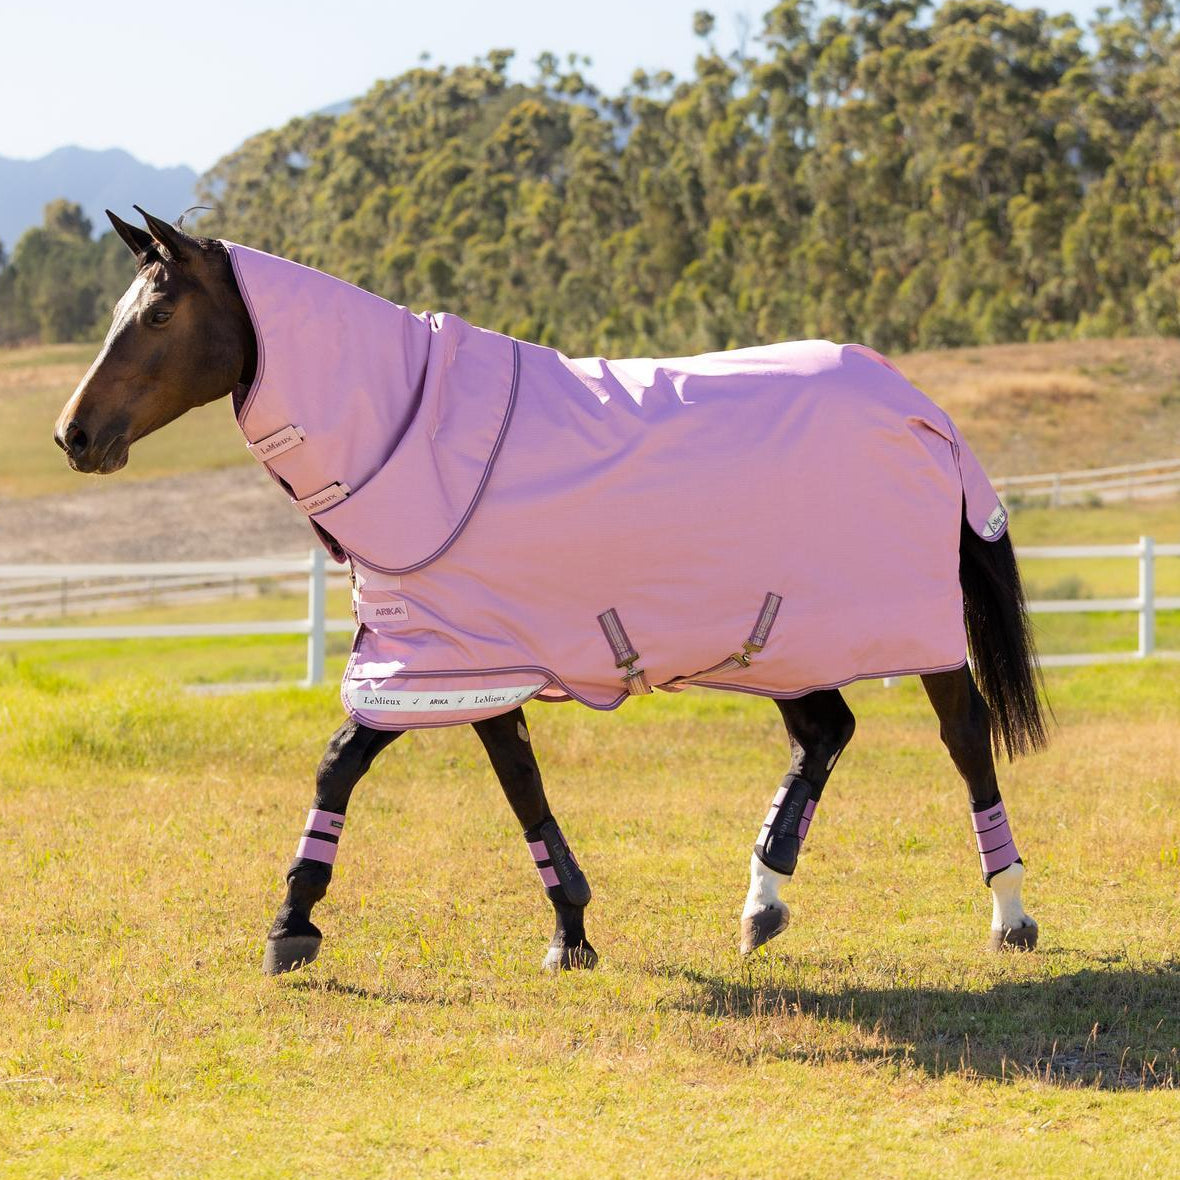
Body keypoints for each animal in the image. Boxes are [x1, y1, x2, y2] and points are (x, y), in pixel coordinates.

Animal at [54, 208, 1048, 976]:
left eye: (159, 312)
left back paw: (1010, 914)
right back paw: (762, 900)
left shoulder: (454, 661)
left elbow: (355, 763)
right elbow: (511, 785)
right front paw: (570, 929)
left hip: (915, 636)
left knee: (966, 742)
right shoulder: (462, 661)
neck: (414, 435)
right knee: (824, 734)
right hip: (777, 641)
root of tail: (920, 409)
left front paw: (294, 922)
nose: (74, 434)